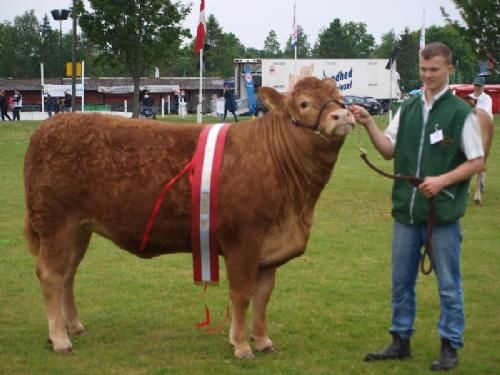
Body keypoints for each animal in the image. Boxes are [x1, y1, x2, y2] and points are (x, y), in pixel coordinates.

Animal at [24, 76, 356, 358]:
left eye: (341, 98)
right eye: (303, 103)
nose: (341, 117)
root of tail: (50, 125)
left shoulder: (270, 250)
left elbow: (263, 297)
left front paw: (263, 341)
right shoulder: (243, 242)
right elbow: (242, 295)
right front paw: (241, 345)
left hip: (79, 229)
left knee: (67, 274)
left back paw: (73, 326)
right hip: (55, 222)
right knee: (50, 274)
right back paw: (60, 339)